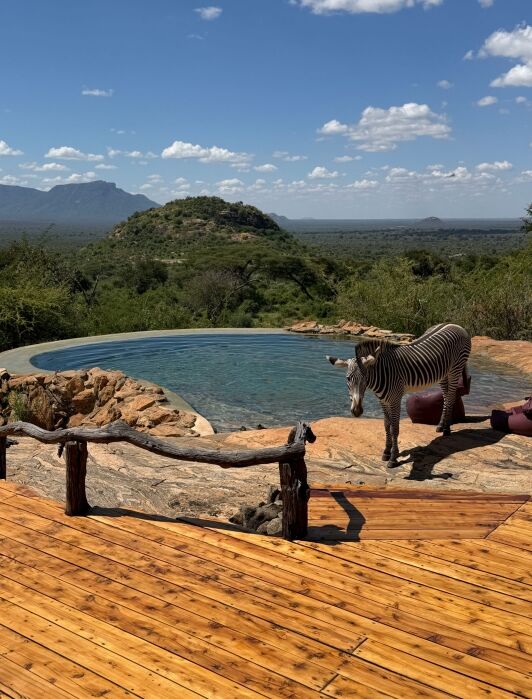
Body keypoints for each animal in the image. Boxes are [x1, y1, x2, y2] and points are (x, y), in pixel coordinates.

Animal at [326, 323, 471, 467]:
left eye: (365, 379)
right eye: (348, 378)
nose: (356, 411)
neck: (382, 373)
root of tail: (455, 325)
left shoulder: (395, 399)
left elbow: (394, 428)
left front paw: (393, 457)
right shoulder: (383, 400)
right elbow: (386, 425)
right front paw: (386, 451)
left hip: (455, 369)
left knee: (451, 397)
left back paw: (447, 429)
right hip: (443, 373)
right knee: (446, 396)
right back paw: (441, 425)